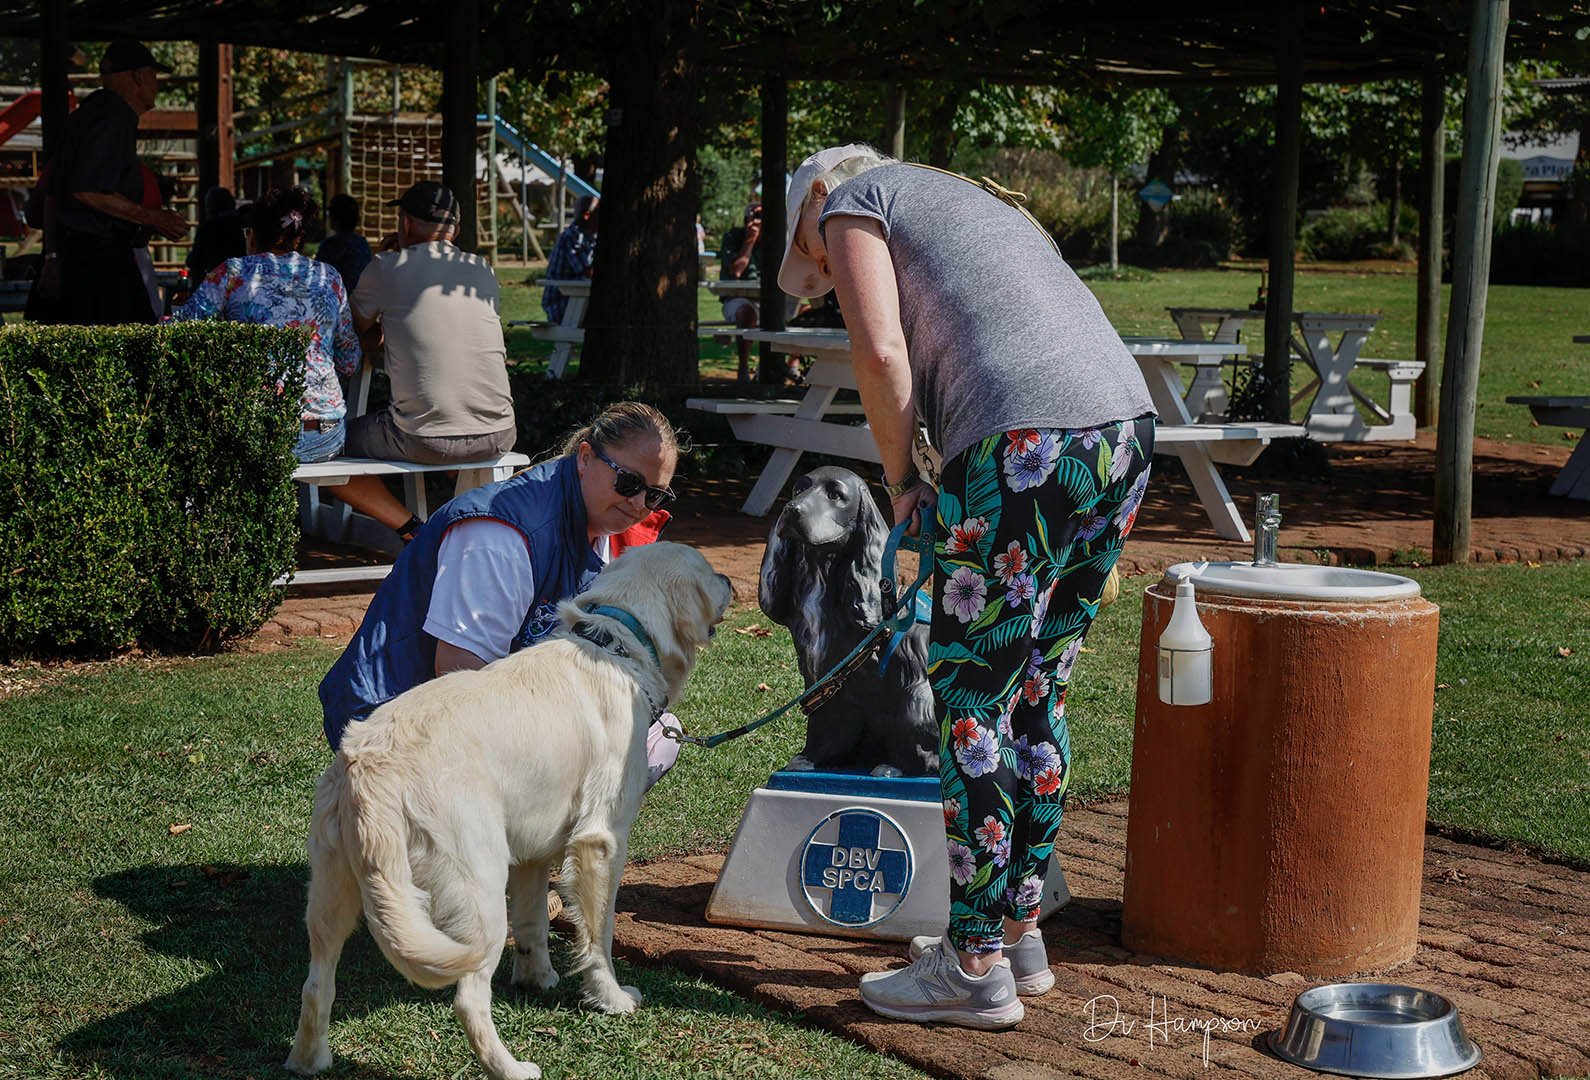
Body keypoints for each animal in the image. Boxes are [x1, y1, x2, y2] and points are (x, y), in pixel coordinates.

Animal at [286, 543, 731, 1075]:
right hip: (477, 888)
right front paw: (611, 998)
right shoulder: (601, 841)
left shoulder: (534, 852)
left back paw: (309, 1060)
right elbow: (598, 936)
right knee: (469, 1002)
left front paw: (538, 978)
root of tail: (371, 764)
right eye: (709, 569)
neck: (614, 643)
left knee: (315, 985)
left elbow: (535, 922)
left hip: (332, 894)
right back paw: (512, 1069)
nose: (731, 579)